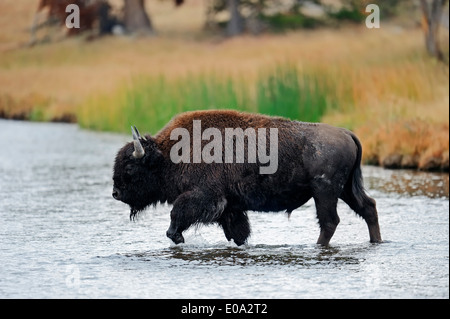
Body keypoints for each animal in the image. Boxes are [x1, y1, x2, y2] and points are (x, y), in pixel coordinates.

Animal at [111, 110, 380, 248]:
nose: (116, 193)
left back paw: (318, 246)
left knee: (330, 221)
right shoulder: (230, 207)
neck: (169, 154)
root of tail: (346, 133)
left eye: (130, 167)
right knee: (368, 207)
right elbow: (238, 232)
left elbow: (178, 214)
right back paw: (376, 241)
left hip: (325, 191)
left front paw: (176, 236)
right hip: (345, 189)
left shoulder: (205, 197)